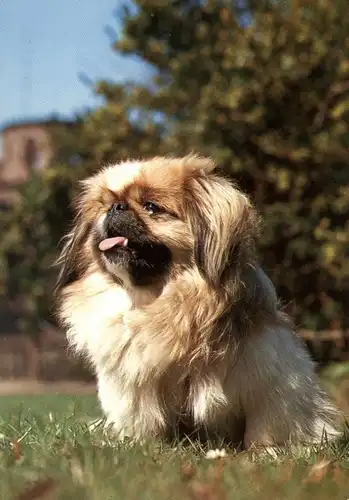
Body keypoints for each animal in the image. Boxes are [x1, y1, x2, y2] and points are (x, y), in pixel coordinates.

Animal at [55, 154, 340, 448]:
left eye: (151, 207)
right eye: (106, 203)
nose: (115, 207)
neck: (158, 301)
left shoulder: (270, 373)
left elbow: (264, 422)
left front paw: (265, 451)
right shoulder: (132, 382)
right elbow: (141, 420)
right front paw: (138, 445)